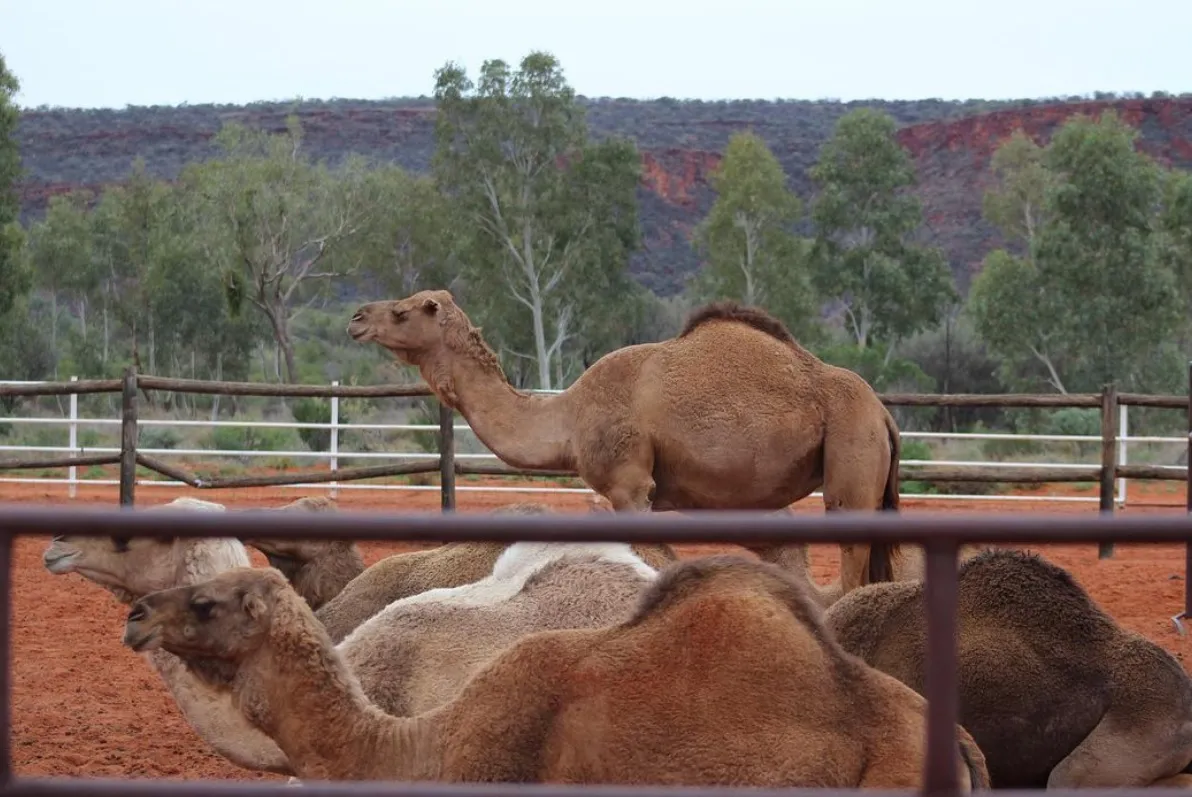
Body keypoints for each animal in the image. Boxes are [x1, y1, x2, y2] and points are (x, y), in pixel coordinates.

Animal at [348, 289, 905, 588]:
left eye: (402, 311)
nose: (356, 317)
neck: (570, 416)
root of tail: (883, 413)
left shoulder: (629, 484)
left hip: (852, 454)